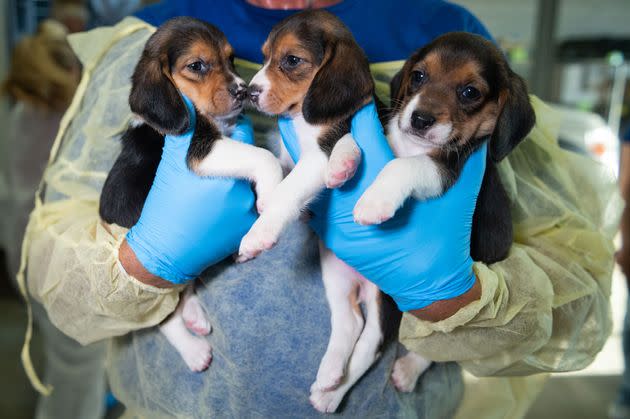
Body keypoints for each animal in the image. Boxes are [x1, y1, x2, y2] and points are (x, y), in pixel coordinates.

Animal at [100, 17, 282, 374]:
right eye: (196, 65)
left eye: (231, 58)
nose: (243, 90)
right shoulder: (201, 150)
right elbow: (261, 156)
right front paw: (270, 197)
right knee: (162, 317)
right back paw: (194, 349)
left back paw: (197, 309)